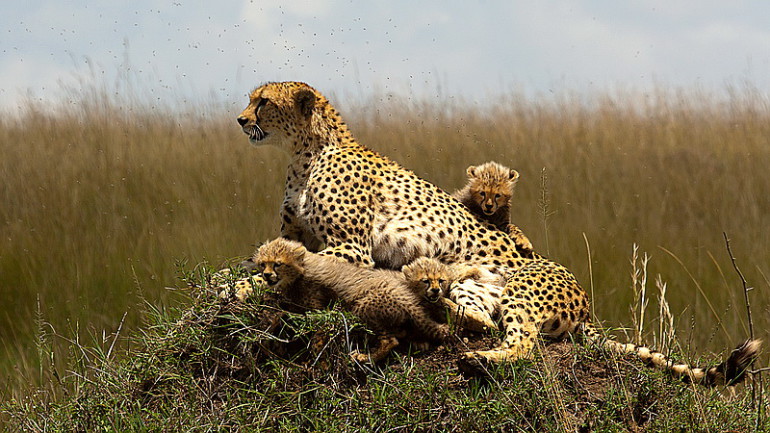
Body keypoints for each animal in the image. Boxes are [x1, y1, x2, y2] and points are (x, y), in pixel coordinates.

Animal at [232, 81, 756, 384]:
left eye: (263, 101)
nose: (240, 119)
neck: (304, 152)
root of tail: (586, 303)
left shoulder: (351, 248)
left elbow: (273, 270)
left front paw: (237, 287)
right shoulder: (301, 238)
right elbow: (268, 256)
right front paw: (242, 279)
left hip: (521, 286)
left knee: (521, 342)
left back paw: (481, 359)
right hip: (474, 287)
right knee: (480, 322)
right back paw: (438, 310)